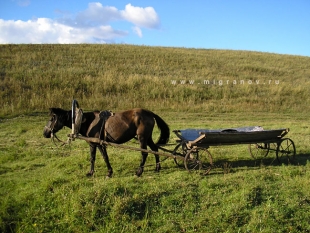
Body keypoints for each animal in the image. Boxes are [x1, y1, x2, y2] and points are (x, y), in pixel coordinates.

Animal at [42, 107, 170, 177]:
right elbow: (92, 158)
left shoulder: (100, 144)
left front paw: (109, 172)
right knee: (155, 149)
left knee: (144, 153)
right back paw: (157, 168)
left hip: (142, 138)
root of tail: (149, 113)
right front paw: (90, 172)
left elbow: (105, 157)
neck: (89, 122)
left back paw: (139, 172)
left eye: (52, 118)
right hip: (148, 137)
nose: (45, 133)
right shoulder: (92, 144)